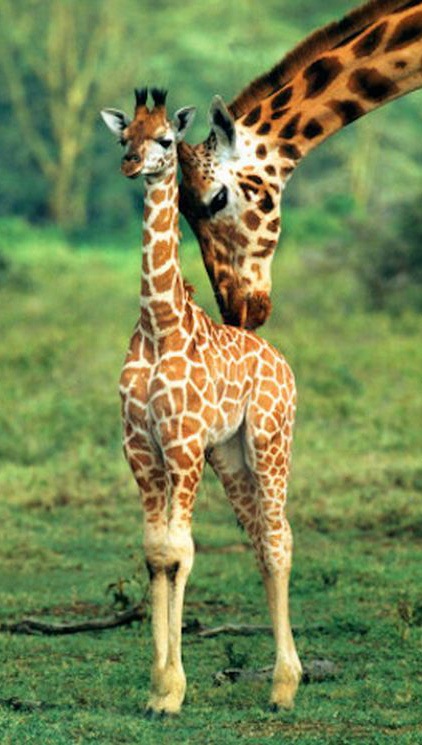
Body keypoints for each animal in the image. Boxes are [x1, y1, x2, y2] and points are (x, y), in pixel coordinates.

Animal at [101, 88, 301, 715]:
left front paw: (172, 690)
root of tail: (283, 364)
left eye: (165, 139)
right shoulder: (140, 445)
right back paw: (283, 679)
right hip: (230, 454)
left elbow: (180, 550)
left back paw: (284, 687)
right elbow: (155, 552)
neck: (159, 323)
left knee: (279, 537)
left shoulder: (183, 442)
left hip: (269, 439)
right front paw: (156, 686)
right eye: (124, 137)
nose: (131, 164)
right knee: (259, 536)